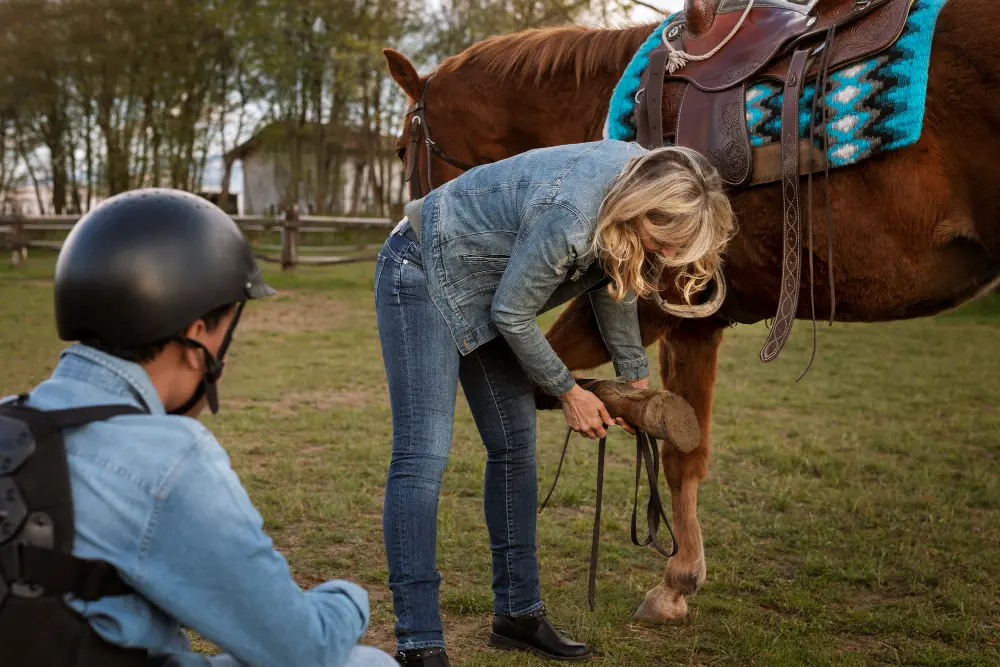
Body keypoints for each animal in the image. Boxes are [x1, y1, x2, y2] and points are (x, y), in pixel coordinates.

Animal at [378, 1, 1000, 628]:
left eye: (403, 150)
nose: (407, 221)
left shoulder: (653, 308)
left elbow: (625, 418)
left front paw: (673, 577)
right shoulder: (697, 322)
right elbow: (685, 447)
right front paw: (680, 579)